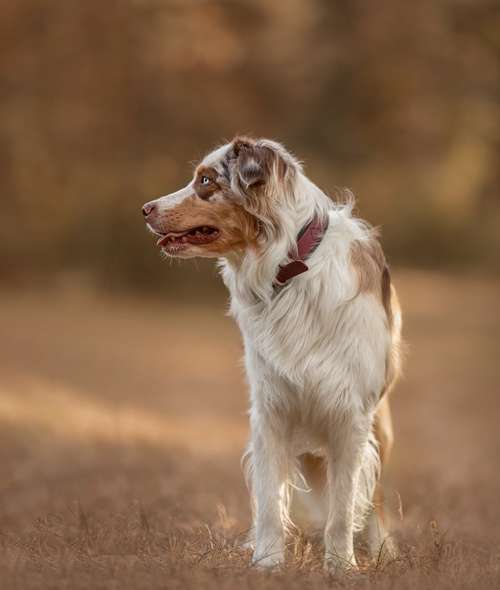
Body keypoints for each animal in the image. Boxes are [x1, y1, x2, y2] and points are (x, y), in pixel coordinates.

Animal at [141, 136, 402, 572]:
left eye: (206, 181)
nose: (145, 209)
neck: (290, 266)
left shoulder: (350, 414)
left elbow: (344, 504)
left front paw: (342, 567)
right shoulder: (270, 408)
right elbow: (269, 500)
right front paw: (266, 562)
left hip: (380, 424)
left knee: (373, 494)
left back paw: (383, 549)